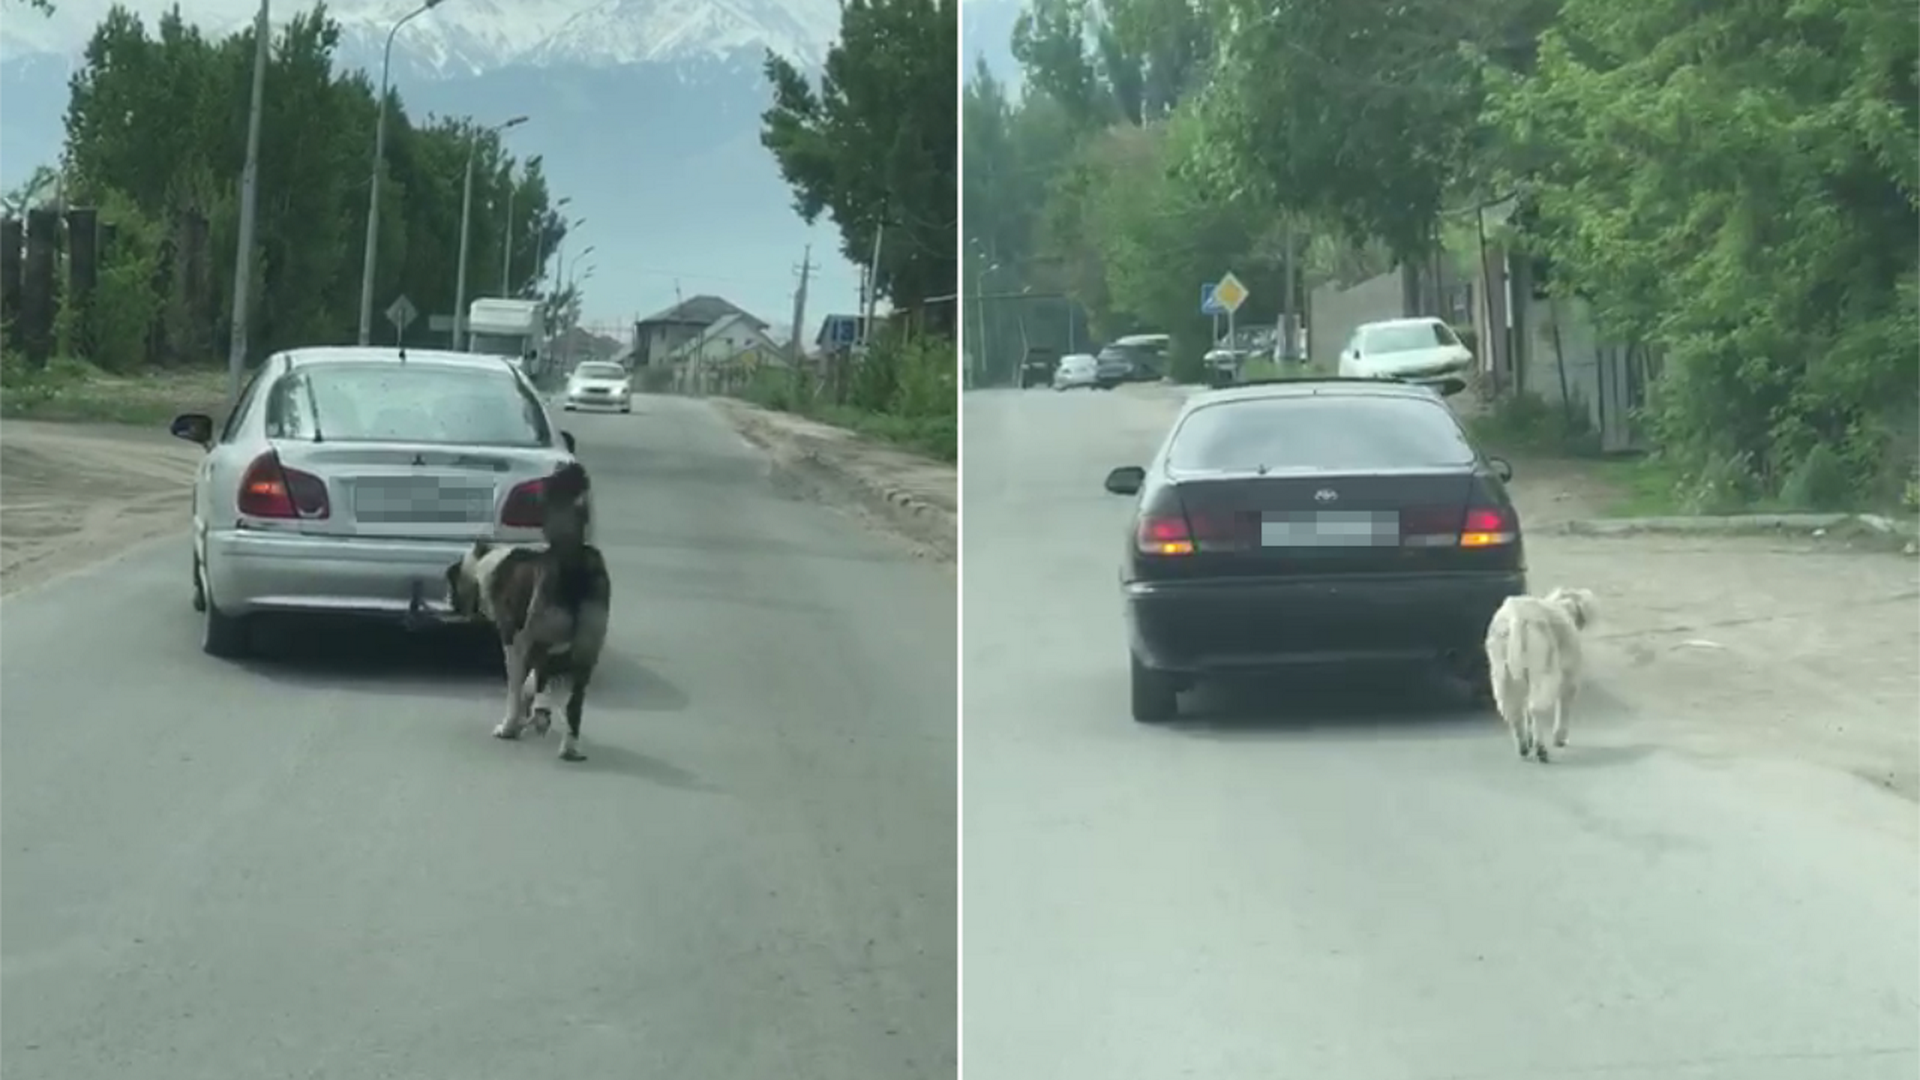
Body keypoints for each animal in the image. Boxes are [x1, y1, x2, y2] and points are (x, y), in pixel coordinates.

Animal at [1489, 584, 1597, 760]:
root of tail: (1517, 617)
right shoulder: (1569, 673)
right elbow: (1565, 700)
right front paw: (1560, 737)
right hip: (1542, 662)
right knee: (1536, 707)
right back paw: (1541, 749)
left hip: (1502, 665)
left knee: (1512, 706)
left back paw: (1523, 746)